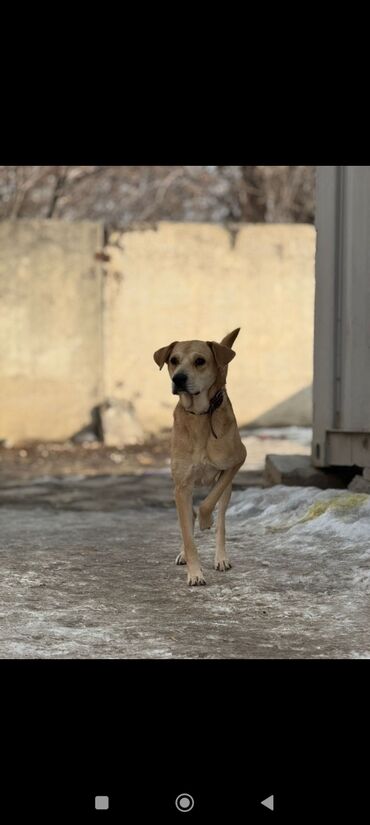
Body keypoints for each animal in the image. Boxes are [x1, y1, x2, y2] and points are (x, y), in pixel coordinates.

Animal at [153, 328, 246, 584]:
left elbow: (208, 503)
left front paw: (206, 521)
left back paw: (220, 557)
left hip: (228, 489)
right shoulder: (182, 486)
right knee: (188, 520)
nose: (178, 379)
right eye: (173, 360)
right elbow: (188, 533)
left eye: (200, 361)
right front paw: (194, 573)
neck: (200, 416)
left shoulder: (236, 461)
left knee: (221, 519)